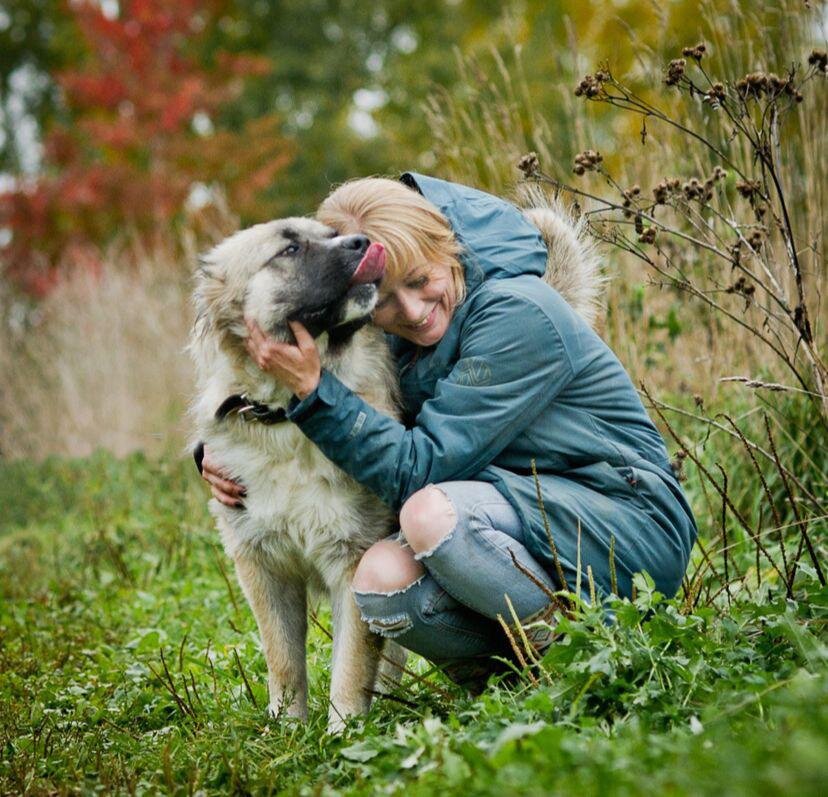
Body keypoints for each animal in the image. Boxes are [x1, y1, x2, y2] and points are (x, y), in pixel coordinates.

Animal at [188, 216, 408, 728]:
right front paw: (287, 725)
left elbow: (351, 663)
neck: (290, 419)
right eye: (289, 249)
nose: (362, 242)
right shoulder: (263, 565)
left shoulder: (354, 559)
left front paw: (345, 728)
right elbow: (283, 658)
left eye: (330, 234)